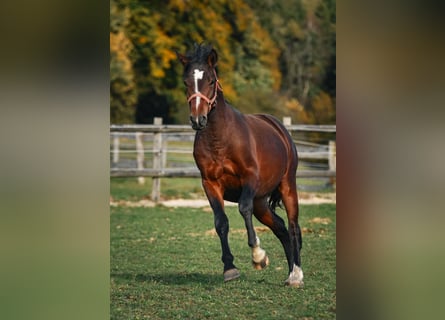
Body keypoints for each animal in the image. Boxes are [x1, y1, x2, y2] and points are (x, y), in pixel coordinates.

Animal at [177, 43, 302, 286]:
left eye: (211, 81)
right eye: (186, 82)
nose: (198, 120)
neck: (221, 139)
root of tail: (280, 129)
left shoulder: (249, 179)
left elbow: (243, 209)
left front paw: (258, 256)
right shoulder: (210, 184)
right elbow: (221, 222)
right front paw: (230, 268)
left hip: (287, 186)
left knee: (292, 226)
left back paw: (296, 275)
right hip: (261, 202)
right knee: (281, 228)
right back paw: (290, 271)